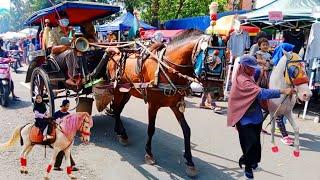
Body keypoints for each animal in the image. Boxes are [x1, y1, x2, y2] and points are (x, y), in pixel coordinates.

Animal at [104, 30, 208, 176]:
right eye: (211, 57)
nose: (217, 91)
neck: (166, 69)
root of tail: (115, 53)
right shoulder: (153, 105)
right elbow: (151, 129)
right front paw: (149, 153)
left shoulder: (175, 105)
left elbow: (186, 130)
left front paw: (190, 161)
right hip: (117, 90)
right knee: (117, 110)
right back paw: (123, 134)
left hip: (126, 92)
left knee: (117, 109)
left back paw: (119, 131)